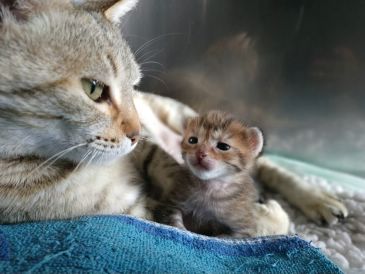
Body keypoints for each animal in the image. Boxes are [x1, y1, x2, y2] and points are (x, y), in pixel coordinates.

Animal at [0, 0, 346, 227]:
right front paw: (267, 215)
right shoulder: (140, 210)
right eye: (93, 89)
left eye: (133, 86)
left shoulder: (154, 151)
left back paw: (320, 200)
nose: (136, 132)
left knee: (265, 165)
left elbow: (169, 165)